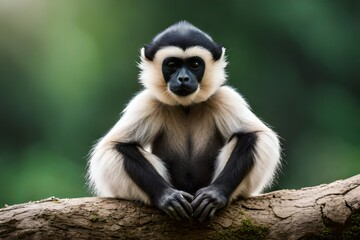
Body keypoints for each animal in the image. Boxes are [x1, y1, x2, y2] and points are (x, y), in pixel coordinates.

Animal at [88, 20, 282, 221]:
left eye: (195, 64)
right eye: (172, 65)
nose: (183, 78)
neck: (186, 106)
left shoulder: (223, 97)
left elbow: (256, 135)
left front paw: (215, 194)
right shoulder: (147, 102)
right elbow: (112, 147)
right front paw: (167, 196)